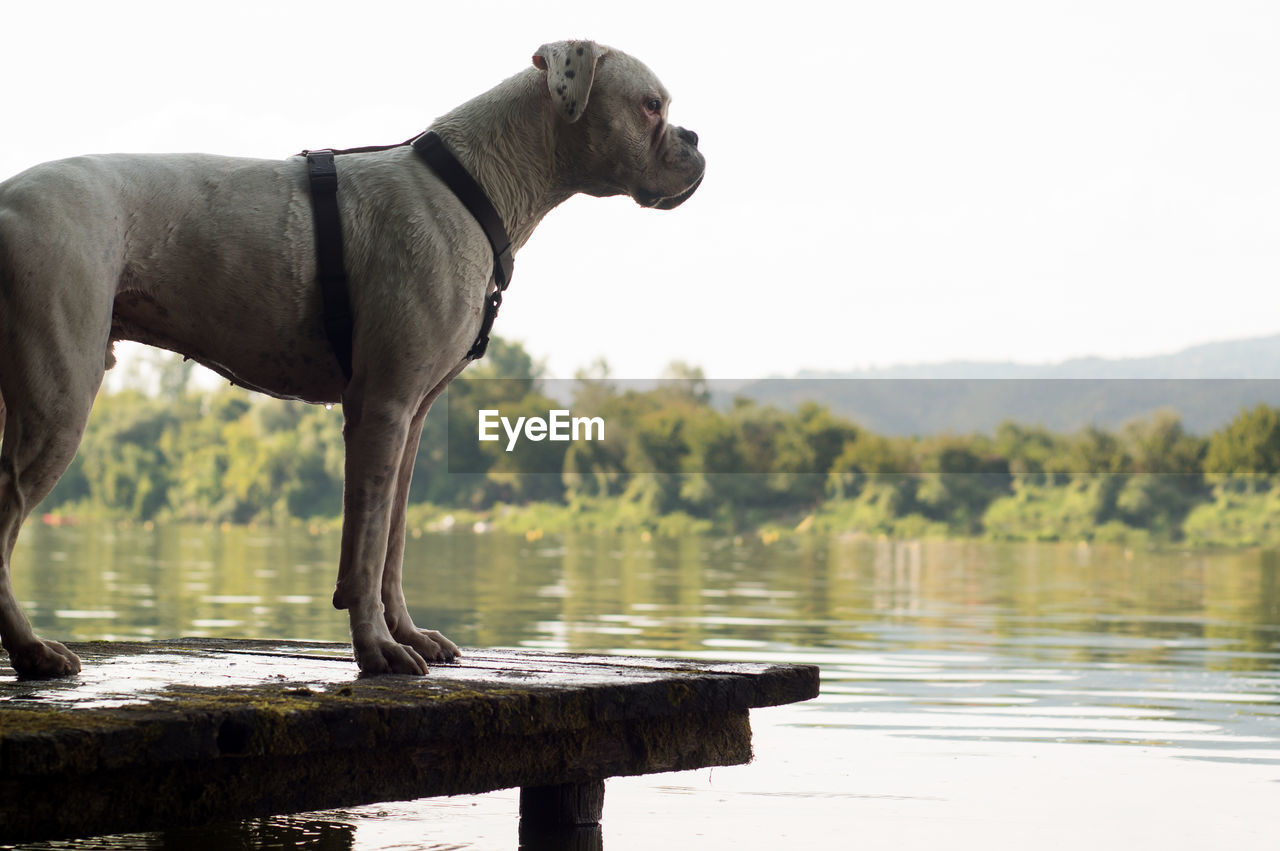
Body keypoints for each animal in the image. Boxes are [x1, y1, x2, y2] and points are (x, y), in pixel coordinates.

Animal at [0, 41, 706, 675]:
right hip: (59, 401)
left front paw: (408, 636)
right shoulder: (381, 410)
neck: (475, 181)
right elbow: (364, 550)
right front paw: (377, 651)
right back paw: (32, 650)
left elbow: (391, 544)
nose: (697, 138)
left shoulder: (409, 423)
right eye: (650, 105)